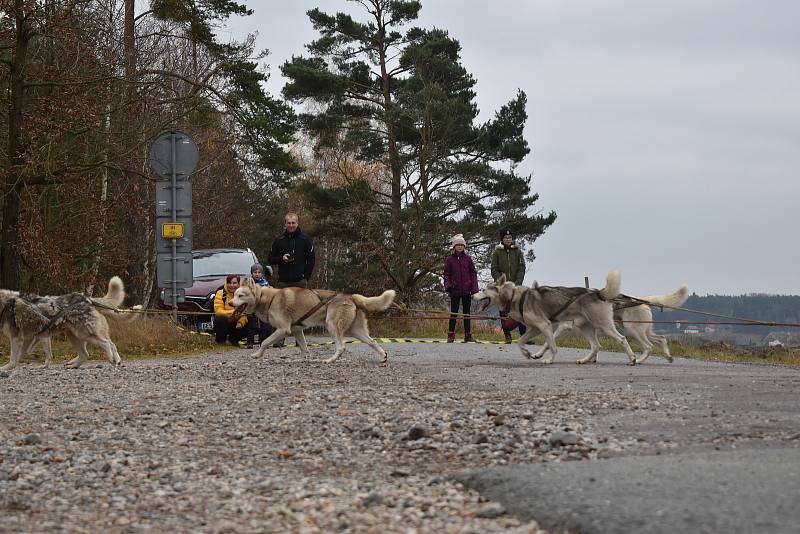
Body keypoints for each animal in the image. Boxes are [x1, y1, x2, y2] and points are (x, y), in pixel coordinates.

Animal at [230, 280, 396, 364]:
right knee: (372, 342)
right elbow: (304, 348)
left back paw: (330, 360)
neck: (269, 299)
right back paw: (383, 356)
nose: (230, 303)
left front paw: (257, 355)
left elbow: (264, 342)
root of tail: (350, 296)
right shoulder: (297, 331)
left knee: (341, 346)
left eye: (240, 295)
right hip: (356, 331)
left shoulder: (283, 330)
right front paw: (304, 360)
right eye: (235, 294)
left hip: (332, 326)